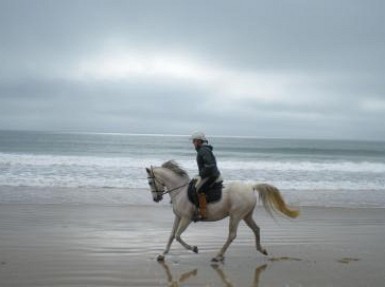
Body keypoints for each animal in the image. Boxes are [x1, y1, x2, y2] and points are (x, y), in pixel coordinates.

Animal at [146, 161, 298, 262]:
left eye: (150, 182)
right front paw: (162, 255)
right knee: (256, 229)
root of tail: (251, 187)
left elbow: (178, 236)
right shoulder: (178, 217)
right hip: (246, 215)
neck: (180, 191)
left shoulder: (186, 218)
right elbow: (172, 235)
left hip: (236, 215)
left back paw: (218, 255)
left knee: (232, 235)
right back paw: (262, 249)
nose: (155, 199)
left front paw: (194, 248)